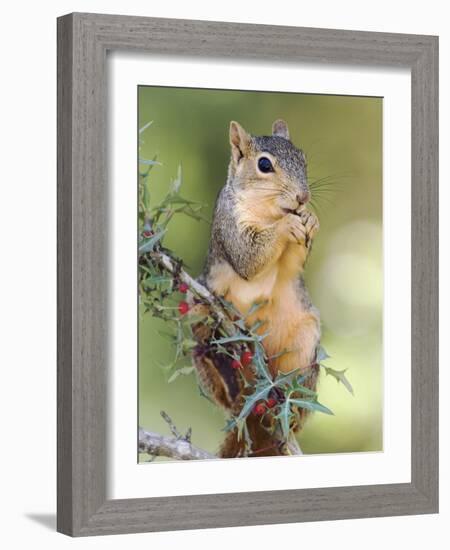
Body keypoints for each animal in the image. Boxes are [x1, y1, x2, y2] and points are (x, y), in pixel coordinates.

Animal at [192, 122, 322, 462]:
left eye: (304, 158)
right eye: (264, 164)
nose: (303, 197)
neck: (270, 211)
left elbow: (293, 263)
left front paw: (310, 219)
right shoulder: (229, 224)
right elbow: (249, 257)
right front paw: (286, 226)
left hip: (305, 344)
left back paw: (288, 408)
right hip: (198, 313)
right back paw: (228, 379)